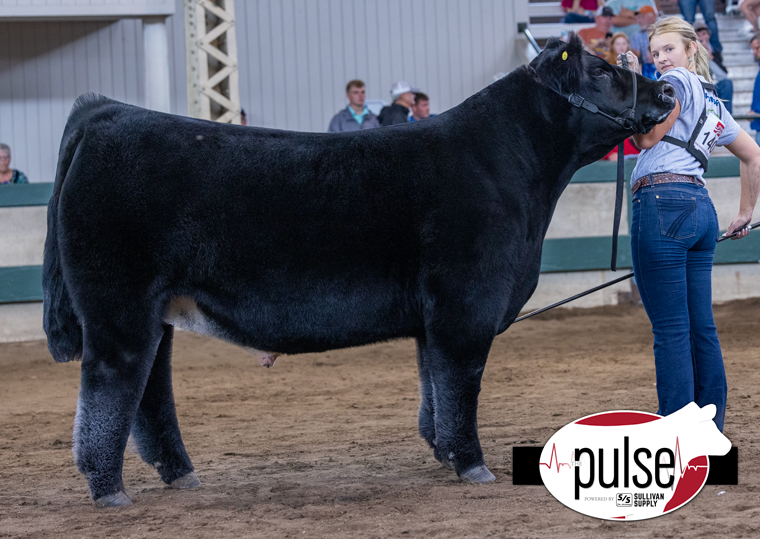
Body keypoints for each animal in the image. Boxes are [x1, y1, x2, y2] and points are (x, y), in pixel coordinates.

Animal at [43, 34, 675, 507]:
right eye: (602, 70)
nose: (667, 88)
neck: (511, 166)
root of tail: (107, 113)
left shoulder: (433, 319)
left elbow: (433, 389)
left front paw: (444, 455)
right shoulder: (466, 306)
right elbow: (460, 386)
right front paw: (472, 464)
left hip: (154, 310)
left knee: (150, 389)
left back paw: (180, 474)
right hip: (118, 307)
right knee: (110, 385)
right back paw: (108, 489)